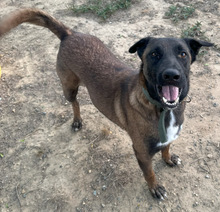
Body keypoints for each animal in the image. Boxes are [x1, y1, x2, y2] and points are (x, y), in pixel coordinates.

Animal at [0, 9, 213, 200]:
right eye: (154, 54)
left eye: (183, 54)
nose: (171, 75)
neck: (161, 109)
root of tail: (70, 34)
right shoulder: (142, 152)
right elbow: (150, 173)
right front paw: (155, 188)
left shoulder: (167, 138)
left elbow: (166, 148)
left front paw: (168, 159)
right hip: (69, 87)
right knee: (75, 103)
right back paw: (77, 121)